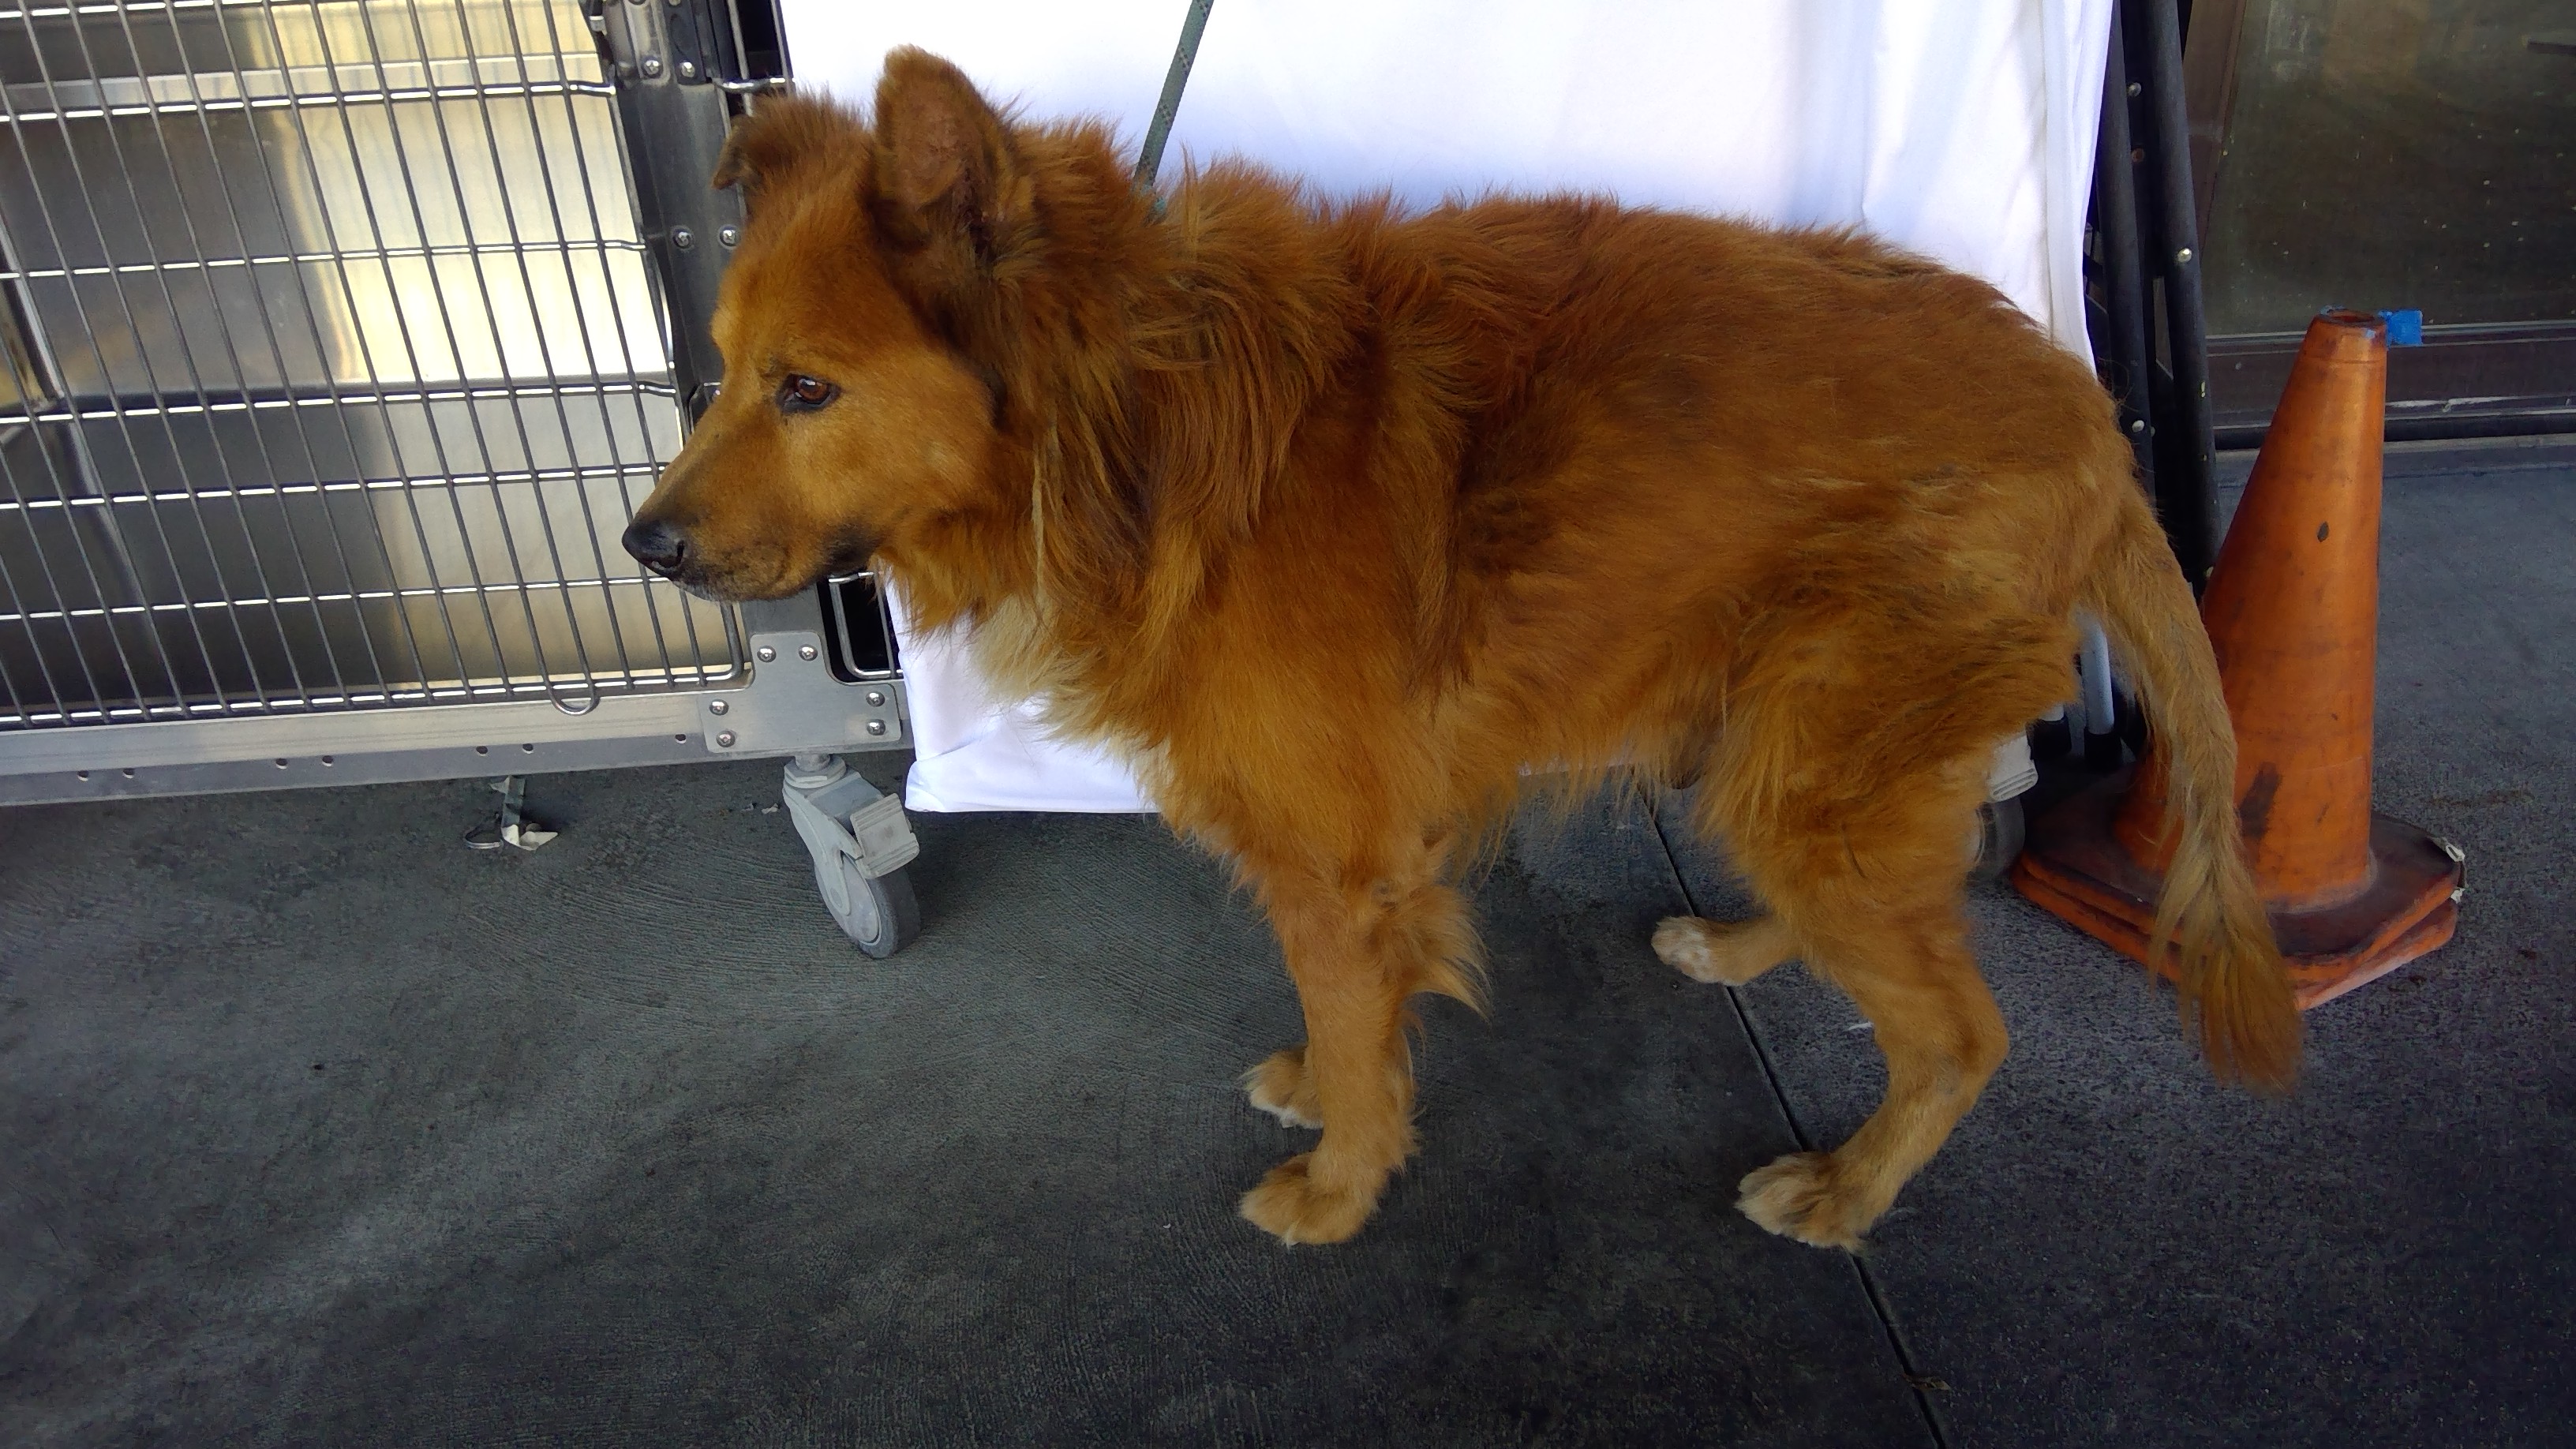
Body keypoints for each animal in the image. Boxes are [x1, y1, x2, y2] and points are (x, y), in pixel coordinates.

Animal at [624, 49, 2301, 1249]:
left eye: (806, 389)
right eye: (725, 371)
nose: (643, 550)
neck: (1146, 424)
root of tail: (2086, 418)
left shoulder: (1337, 865)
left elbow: (1359, 1022)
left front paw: (1338, 1184)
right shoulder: (1333, 856)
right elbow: (1340, 1018)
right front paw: (1320, 1096)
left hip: (1821, 761)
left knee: (1955, 1031)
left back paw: (1843, 1188)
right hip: (1776, 749)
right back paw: (1744, 948)